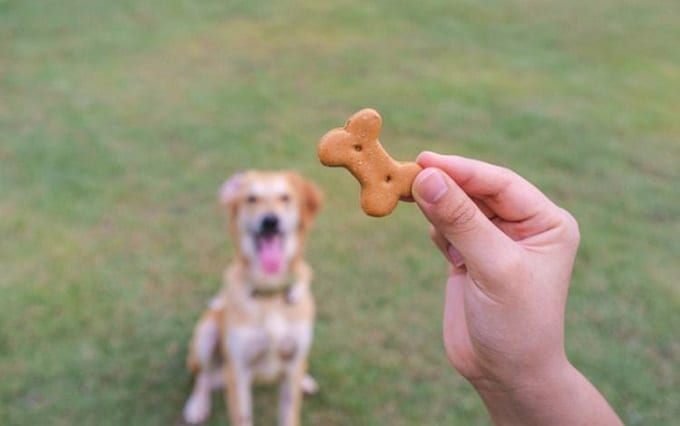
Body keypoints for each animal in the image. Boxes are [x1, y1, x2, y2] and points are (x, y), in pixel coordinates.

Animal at [183, 171, 324, 424]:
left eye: (285, 198)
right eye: (251, 199)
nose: (270, 221)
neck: (270, 293)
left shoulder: (292, 364)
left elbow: (289, 413)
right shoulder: (238, 371)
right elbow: (242, 416)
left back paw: (306, 381)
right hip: (207, 333)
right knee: (203, 376)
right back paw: (197, 405)